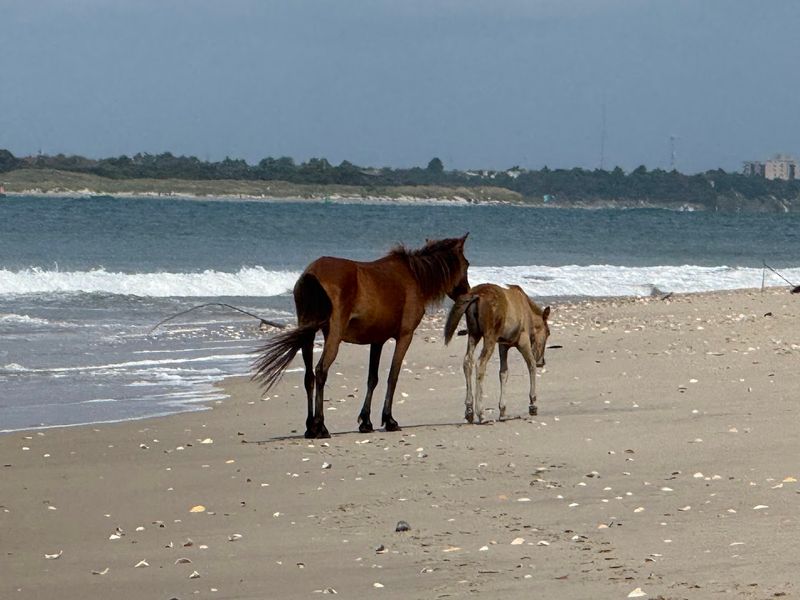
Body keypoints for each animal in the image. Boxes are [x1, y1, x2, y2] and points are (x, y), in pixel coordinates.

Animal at [252, 234, 471, 438]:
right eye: (467, 264)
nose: (468, 294)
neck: (414, 276)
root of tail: (311, 273)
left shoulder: (377, 340)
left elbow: (372, 379)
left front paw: (366, 422)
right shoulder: (404, 336)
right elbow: (393, 376)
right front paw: (389, 420)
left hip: (308, 334)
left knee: (309, 377)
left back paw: (310, 427)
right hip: (333, 334)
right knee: (321, 371)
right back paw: (320, 426)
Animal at [444, 283, 550, 424]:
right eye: (548, 333)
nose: (542, 362)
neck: (528, 313)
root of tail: (475, 295)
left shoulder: (503, 345)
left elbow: (503, 373)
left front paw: (503, 411)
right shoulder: (523, 340)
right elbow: (531, 365)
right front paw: (533, 404)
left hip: (474, 334)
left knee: (467, 362)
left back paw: (469, 411)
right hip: (489, 336)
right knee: (480, 364)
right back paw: (481, 413)